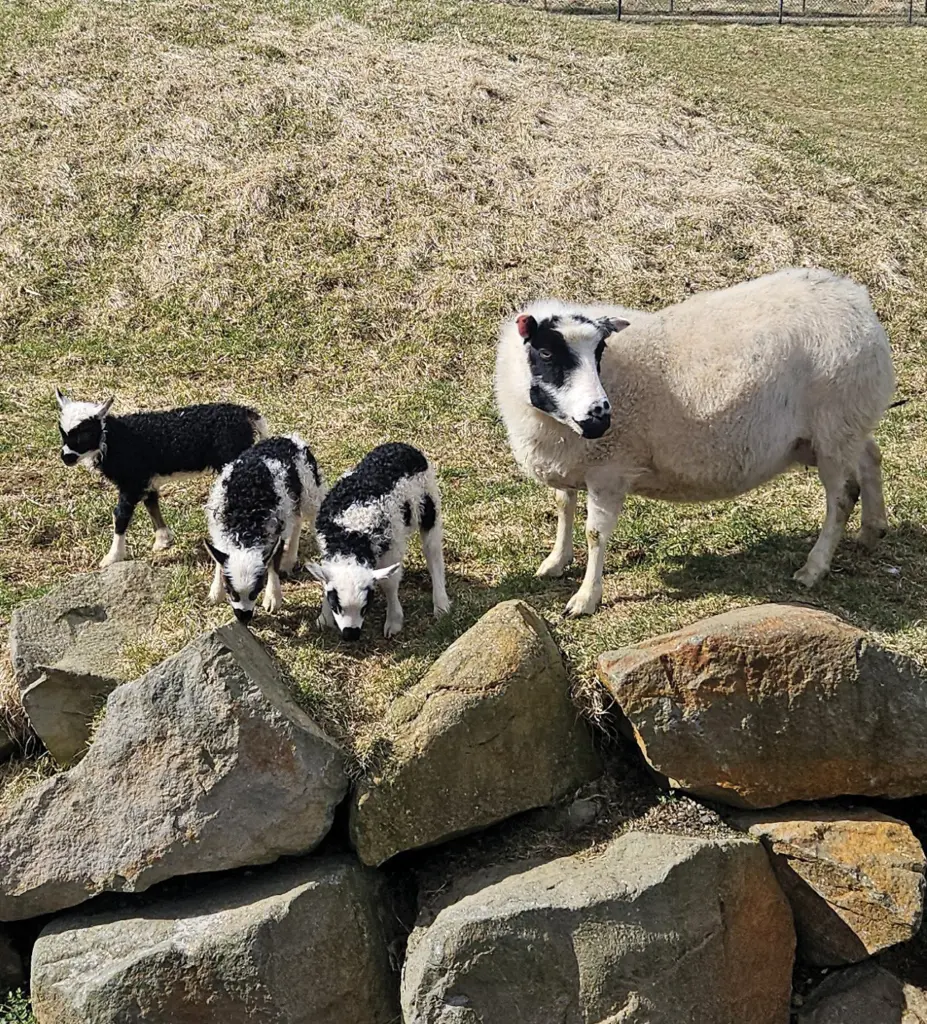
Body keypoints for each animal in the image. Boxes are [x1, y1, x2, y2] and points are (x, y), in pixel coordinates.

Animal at [55, 391, 267, 568]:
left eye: (84, 434)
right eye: (63, 432)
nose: (66, 458)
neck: (114, 439)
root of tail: (246, 414)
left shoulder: (132, 482)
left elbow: (121, 515)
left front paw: (112, 557)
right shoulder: (145, 480)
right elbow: (152, 504)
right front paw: (163, 540)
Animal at [205, 434, 326, 624]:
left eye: (257, 590)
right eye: (230, 591)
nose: (243, 617)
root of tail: (289, 439)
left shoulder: (276, 529)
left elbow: (273, 562)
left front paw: (273, 599)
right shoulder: (219, 530)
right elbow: (219, 557)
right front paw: (216, 592)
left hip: (310, 493)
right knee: (297, 521)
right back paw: (289, 560)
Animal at [306, 442, 451, 640]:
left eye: (366, 606)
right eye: (336, 605)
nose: (351, 635)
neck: (351, 537)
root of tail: (402, 446)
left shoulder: (392, 548)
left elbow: (389, 584)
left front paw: (394, 621)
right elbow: (325, 580)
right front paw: (324, 618)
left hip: (430, 506)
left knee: (433, 553)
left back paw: (441, 605)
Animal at [494, 267, 897, 617]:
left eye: (599, 352)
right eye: (546, 353)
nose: (601, 415)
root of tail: (856, 298)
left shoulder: (609, 469)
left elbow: (595, 534)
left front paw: (585, 598)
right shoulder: (572, 460)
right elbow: (563, 507)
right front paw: (555, 562)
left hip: (834, 427)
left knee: (842, 497)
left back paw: (814, 567)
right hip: (847, 424)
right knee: (871, 457)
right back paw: (872, 530)